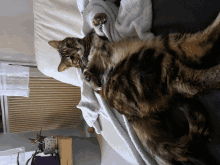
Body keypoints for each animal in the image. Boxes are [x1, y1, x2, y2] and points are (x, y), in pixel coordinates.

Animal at [48, 12, 220, 163]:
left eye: (69, 45)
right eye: (71, 58)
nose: (75, 52)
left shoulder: (101, 40)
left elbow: (96, 30)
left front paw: (99, 19)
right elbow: (89, 72)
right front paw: (90, 76)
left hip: (168, 45)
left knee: (201, 46)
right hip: (154, 64)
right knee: (194, 83)